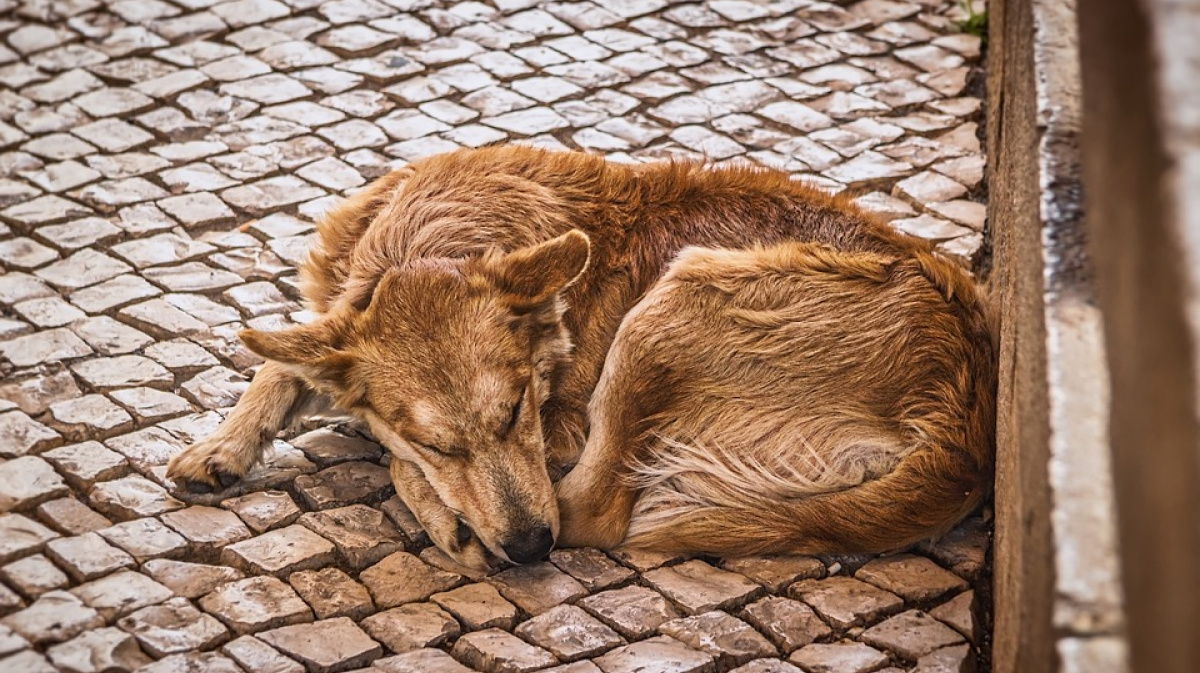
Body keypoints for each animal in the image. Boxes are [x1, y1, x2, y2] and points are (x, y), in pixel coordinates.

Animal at [166, 145, 993, 566]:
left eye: (518, 411)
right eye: (444, 441)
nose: (532, 549)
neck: (438, 237)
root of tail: (967, 431)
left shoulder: (558, 427)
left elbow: (383, 442)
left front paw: (437, 503)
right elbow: (284, 357)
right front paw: (222, 445)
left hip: (670, 306)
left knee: (594, 511)